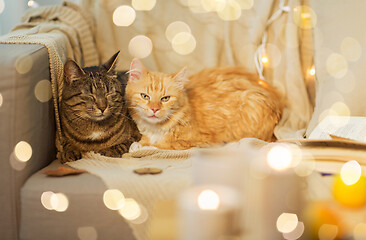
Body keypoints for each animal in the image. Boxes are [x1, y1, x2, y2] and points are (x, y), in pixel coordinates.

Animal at [125, 59, 284, 150]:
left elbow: (161, 145)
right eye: (145, 96)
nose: (154, 109)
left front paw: (140, 146)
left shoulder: (201, 141)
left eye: (165, 98)